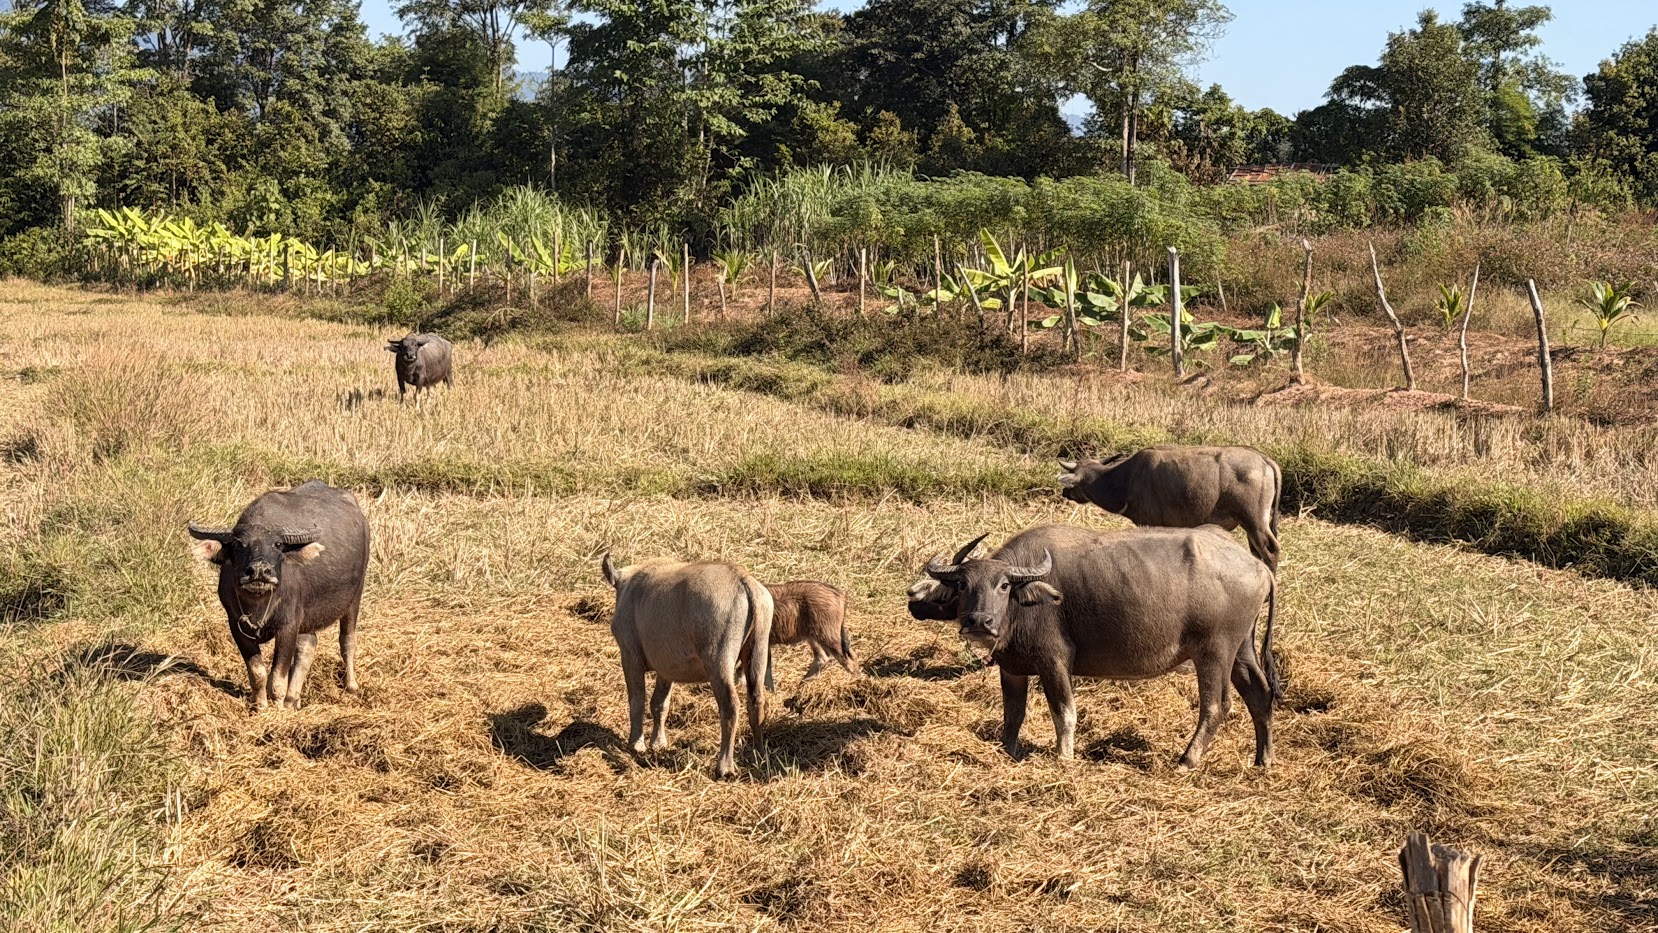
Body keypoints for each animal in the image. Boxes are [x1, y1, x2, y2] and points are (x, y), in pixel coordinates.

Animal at [189, 480, 370, 711]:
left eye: (277, 544)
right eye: (239, 544)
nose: (259, 571)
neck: (259, 604)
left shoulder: (288, 626)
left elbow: (277, 677)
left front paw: (277, 708)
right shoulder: (236, 626)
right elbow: (257, 672)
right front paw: (261, 706)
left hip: (355, 597)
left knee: (347, 640)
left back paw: (350, 686)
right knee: (307, 646)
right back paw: (294, 699)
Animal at [602, 555, 773, 779]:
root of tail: (743, 580)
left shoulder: (630, 656)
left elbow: (637, 700)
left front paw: (636, 744)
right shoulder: (666, 669)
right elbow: (659, 704)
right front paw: (658, 743)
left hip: (719, 660)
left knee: (730, 706)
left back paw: (724, 767)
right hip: (758, 649)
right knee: (756, 701)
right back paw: (759, 754)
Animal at [911, 524, 1279, 769]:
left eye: (1003, 585)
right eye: (962, 584)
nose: (979, 621)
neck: (1023, 602)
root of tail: (1260, 568)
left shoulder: (1054, 661)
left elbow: (1064, 712)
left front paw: (1064, 757)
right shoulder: (1012, 668)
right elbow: (1013, 715)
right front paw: (1007, 751)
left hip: (1214, 651)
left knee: (1216, 705)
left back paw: (1187, 760)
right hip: (1240, 650)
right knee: (1259, 694)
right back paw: (1262, 759)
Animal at [1058, 445, 1283, 572]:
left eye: (1074, 484)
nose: (1065, 492)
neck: (1126, 480)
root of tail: (1264, 460)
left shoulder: (1148, 524)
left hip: (1255, 523)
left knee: (1271, 552)